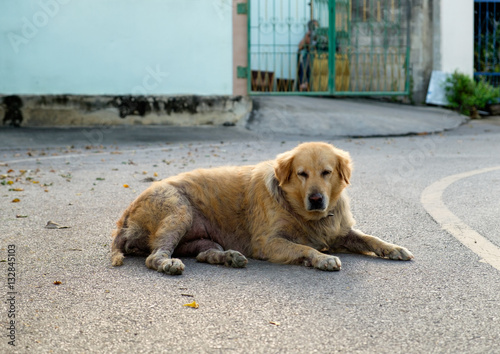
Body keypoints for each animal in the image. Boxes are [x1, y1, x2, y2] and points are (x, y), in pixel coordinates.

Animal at [112, 142, 414, 276]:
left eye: (327, 173)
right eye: (302, 174)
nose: (317, 199)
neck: (299, 210)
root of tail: (124, 216)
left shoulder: (340, 231)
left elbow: (371, 238)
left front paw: (394, 248)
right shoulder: (268, 242)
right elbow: (304, 247)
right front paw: (320, 258)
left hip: (202, 238)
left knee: (204, 254)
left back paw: (229, 257)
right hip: (179, 211)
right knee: (155, 257)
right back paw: (169, 263)